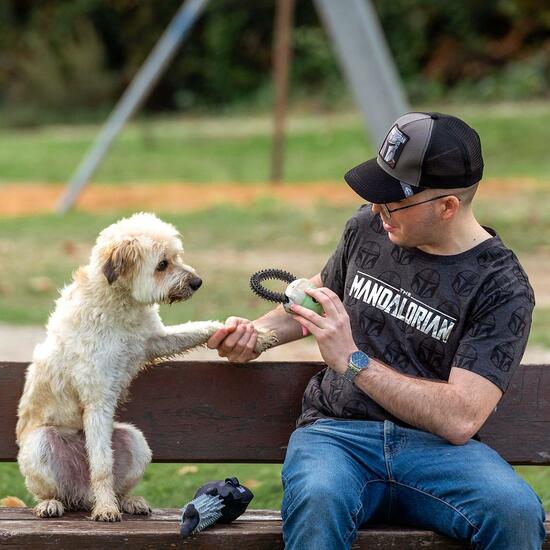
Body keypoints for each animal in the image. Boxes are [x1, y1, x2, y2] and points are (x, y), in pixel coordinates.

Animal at [16, 213, 274, 524]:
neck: (119, 302)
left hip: (135, 440)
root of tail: (82, 494)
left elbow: (202, 328)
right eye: (162, 264)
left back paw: (129, 501)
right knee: (54, 490)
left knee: (119, 484)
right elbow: (101, 465)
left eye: (176, 256)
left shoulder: (156, 340)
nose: (197, 282)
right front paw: (106, 509)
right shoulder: (98, 399)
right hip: (40, 444)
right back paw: (55, 504)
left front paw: (256, 335)